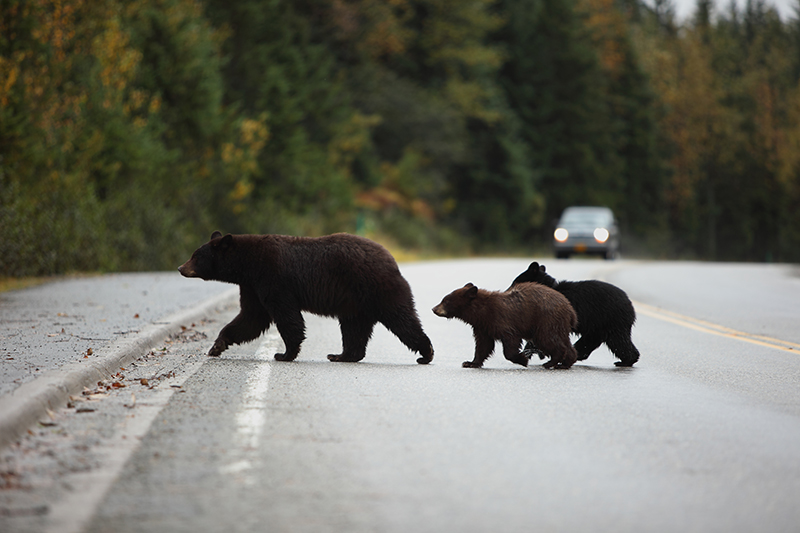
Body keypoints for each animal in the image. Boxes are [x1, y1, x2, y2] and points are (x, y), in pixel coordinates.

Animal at [179, 231, 434, 364]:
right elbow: (251, 317)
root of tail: (391, 258)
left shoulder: (273, 278)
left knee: (401, 318)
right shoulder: (251, 286)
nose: (181, 267)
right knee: (354, 328)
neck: (247, 265)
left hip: (376, 288)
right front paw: (217, 346)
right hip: (355, 303)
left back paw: (426, 353)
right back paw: (341, 355)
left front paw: (284, 353)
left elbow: (285, 316)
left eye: (196, 256)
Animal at [434, 280, 580, 368]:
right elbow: (483, 345)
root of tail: (570, 310)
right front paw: (470, 363)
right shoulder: (483, 326)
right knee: (563, 341)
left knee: (548, 339)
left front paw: (522, 359)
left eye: (446, 300)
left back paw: (550, 363)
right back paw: (566, 363)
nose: (434, 309)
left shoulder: (501, 319)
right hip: (558, 324)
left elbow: (510, 340)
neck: (482, 312)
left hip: (546, 320)